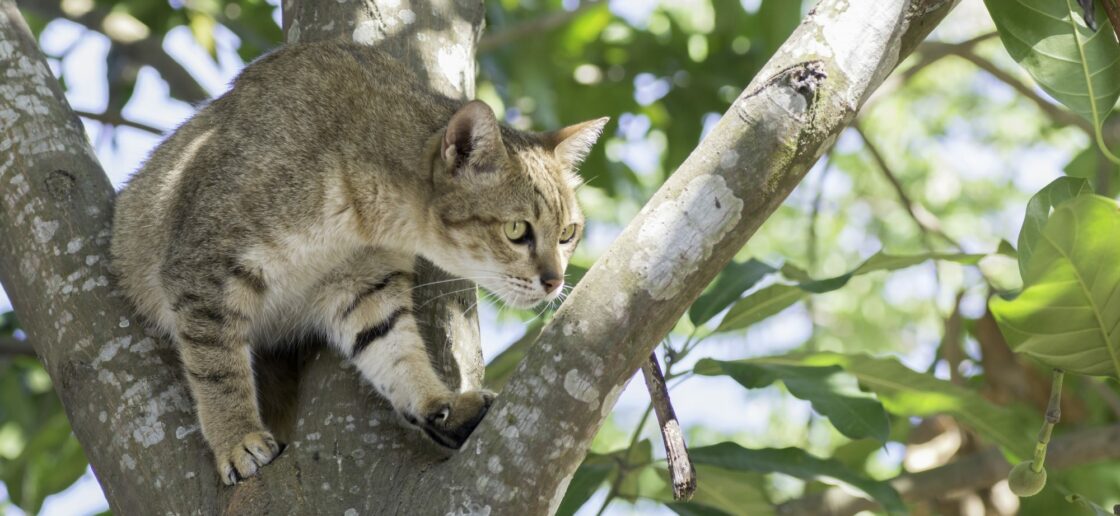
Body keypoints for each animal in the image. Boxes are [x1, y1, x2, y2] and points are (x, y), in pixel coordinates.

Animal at [109, 40, 609, 483]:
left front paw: (438, 404)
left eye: (568, 234)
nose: (555, 281)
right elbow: (218, 369)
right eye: (517, 230)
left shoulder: (362, 283)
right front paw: (237, 437)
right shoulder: (204, 266)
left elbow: (396, 351)